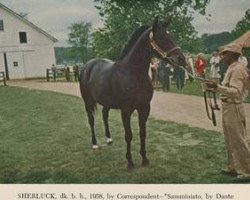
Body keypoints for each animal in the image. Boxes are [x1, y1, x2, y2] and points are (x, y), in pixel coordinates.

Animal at [80, 16, 188, 169]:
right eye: (161, 36)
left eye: (171, 35)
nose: (181, 59)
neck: (133, 74)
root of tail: (87, 66)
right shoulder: (126, 110)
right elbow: (129, 135)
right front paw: (130, 162)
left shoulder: (144, 108)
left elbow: (142, 133)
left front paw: (144, 159)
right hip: (88, 102)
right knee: (91, 120)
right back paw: (95, 144)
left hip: (106, 103)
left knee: (105, 116)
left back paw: (109, 139)